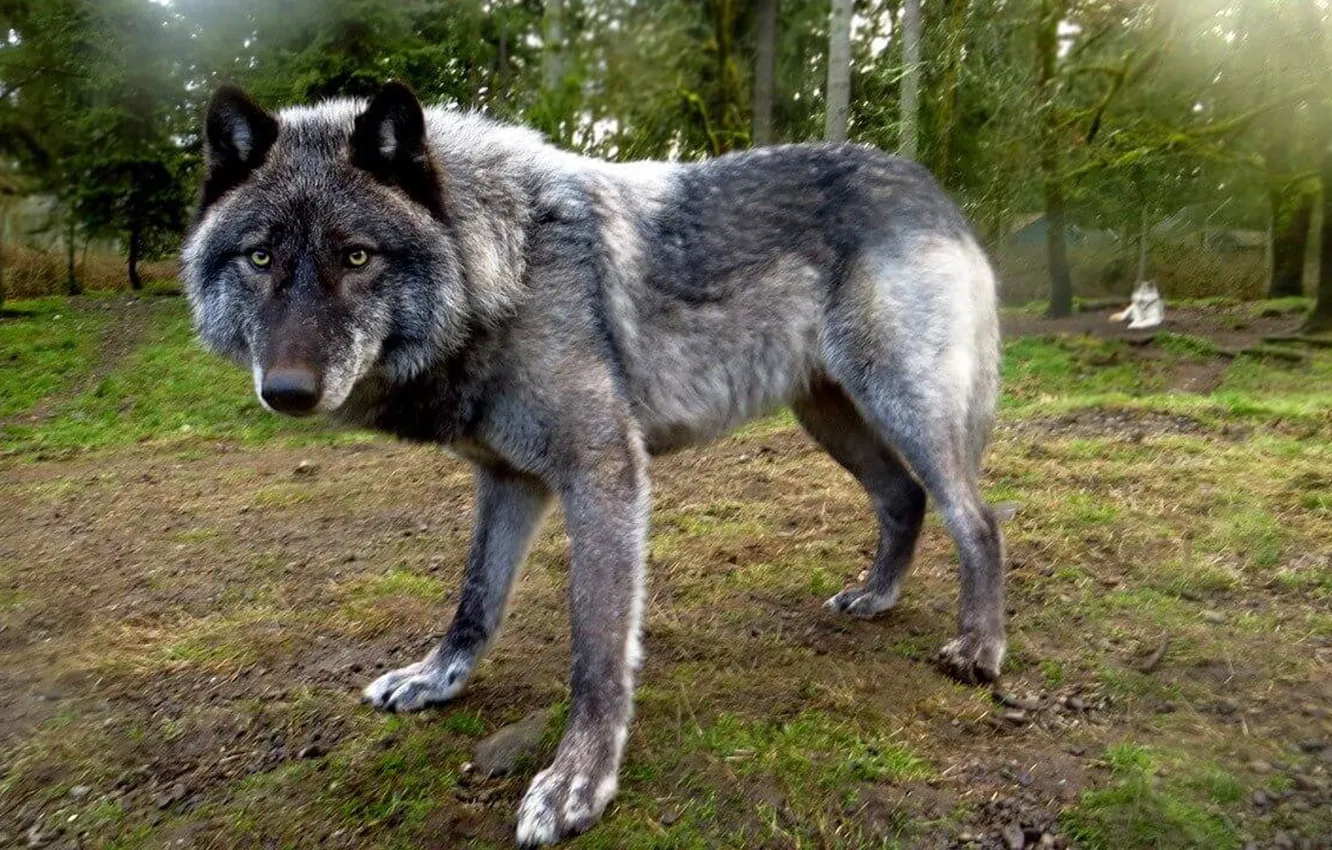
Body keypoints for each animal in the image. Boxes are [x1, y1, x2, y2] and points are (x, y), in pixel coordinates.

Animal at [181, 81, 1005, 846]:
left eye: (356, 256)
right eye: (260, 257)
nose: (286, 391)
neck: (507, 268)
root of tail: (928, 184)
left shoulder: (603, 473)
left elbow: (596, 650)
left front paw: (579, 781)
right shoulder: (508, 481)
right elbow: (476, 600)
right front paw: (435, 679)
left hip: (905, 409)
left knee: (980, 519)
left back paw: (980, 645)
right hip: (833, 417)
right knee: (903, 498)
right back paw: (877, 597)